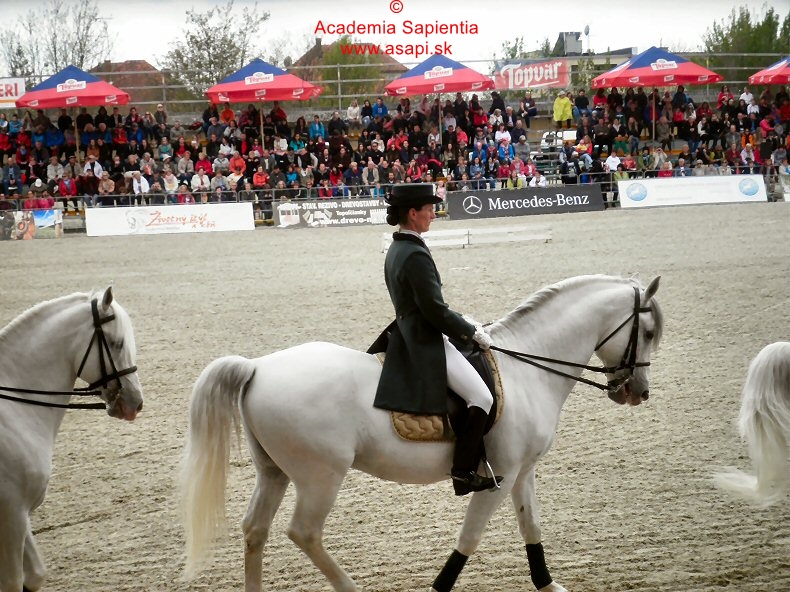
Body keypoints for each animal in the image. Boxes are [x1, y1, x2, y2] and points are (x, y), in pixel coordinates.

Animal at [0, 287, 143, 592]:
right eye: (116, 343)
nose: (135, 403)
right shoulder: (11, 514)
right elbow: (13, 581)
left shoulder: (20, 513)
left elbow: (35, 575)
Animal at [181, 274, 663, 592]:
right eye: (648, 331)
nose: (638, 392)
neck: (528, 368)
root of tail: (257, 367)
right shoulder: (499, 476)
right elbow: (469, 539)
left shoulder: (523, 472)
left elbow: (531, 527)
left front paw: (548, 585)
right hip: (321, 476)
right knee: (304, 533)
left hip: (274, 472)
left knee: (255, 530)